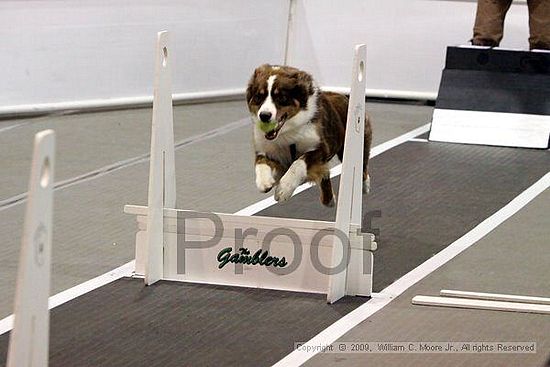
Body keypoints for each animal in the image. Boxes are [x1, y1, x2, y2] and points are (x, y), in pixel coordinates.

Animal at [247, 64, 374, 207]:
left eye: (281, 97)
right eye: (259, 96)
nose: (264, 116)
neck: (286, 132)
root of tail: (345, 97)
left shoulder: (321, 148)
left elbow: (298, 163)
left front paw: (284, 189)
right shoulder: (268, 149)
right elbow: (260, 161)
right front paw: (264, 182)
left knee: (362, 167)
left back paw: (364, 186)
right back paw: (329, 200)